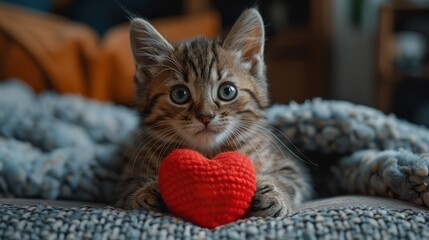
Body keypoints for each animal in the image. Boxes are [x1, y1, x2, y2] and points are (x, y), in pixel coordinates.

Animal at [117, 8, 310, 217]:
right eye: (180, 94)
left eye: (227, 91)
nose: (205, 116)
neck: (209, 152)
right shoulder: (128, 173)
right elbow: (130, 185)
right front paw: (144, 194)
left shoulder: (287, 164)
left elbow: (288, 178)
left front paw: (273, 194)